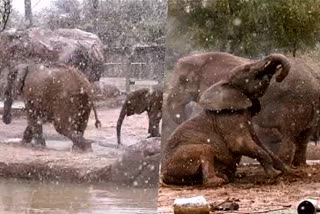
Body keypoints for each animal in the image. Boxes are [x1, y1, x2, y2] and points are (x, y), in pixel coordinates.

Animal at [161, 55, 294, 187]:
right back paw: (219, 181)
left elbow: (259, 143)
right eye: (247, 69)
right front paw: (275, 175)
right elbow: (240, 144)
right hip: (179, 159)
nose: (278, 77)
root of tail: (164, 176)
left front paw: (288, 171)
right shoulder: (229, 117)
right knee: (205, 149)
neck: (225, 82)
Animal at [165, 52, 320, 167]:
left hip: (295, 104)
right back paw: (299, 165)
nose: (278, 76)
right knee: (304, 136)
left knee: (289, 133)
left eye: (182, 80)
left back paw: (285, 164)